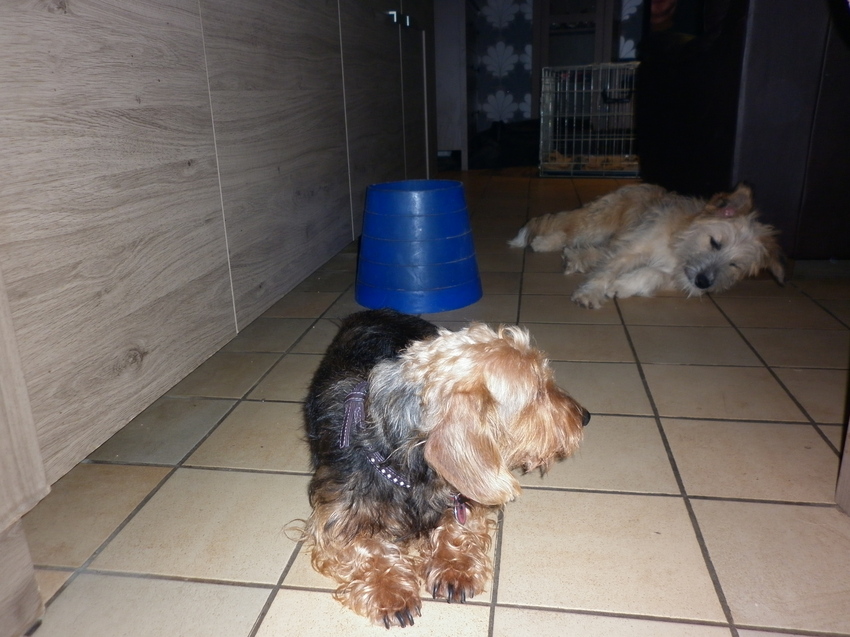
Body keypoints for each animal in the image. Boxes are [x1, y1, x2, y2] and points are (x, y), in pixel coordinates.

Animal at [302, 309, 588, 628]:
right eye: (538, 392)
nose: (586, 417)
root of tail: (376, 310)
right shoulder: (334, 517)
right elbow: (366, 548)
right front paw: (389, 590)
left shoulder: (465, 493)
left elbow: (458, 524)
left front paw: (454, 566)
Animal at [509, 183, 784, 308]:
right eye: (715, 242)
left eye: (734, 264)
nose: (704, 283)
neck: (678, 246)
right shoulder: (634, 248)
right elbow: (606, 271)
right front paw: (591, 292)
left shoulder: (676, 277)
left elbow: (651, 275)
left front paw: (622, 285)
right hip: (598, 223)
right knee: (568, 229)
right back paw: (543, 242)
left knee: (597, 251)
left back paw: (576, 259)